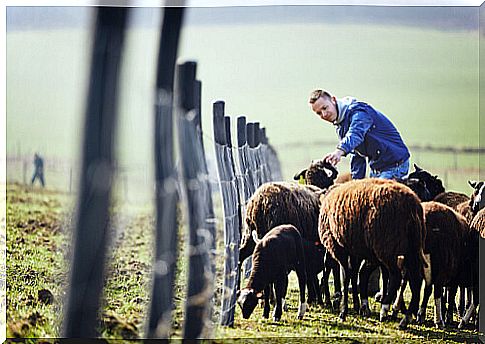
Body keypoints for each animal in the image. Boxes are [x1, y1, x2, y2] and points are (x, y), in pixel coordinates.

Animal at [318, 179, 428, 330]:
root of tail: (412, 207)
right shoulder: (354, 250)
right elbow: (353, 274)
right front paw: (358, 306)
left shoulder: (339, 247)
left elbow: (346, 277)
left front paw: (343, 311)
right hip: (412, 249)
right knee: (415, 279)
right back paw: (405, 319)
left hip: (387, 247)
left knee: (396, 276)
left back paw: (385, 310)